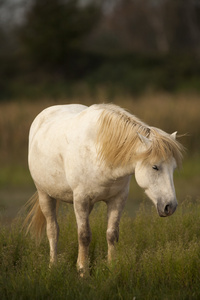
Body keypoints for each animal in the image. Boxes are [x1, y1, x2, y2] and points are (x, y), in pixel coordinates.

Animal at [24, 103, 184, 274]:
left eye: (173, 168)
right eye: (155, 167)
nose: (170, 206)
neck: (99, 152)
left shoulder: (118, 199)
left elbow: (111, 234)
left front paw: (112, 267)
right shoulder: (81, 199)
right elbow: (84, 236)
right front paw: (83, 271)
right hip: (45, 195)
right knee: (53, 230)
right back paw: (53, 265)